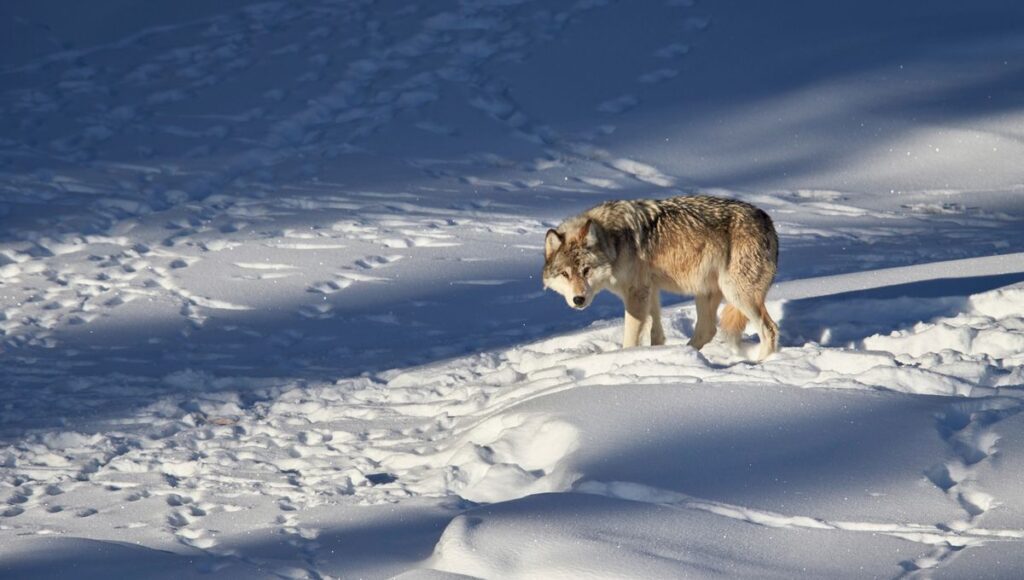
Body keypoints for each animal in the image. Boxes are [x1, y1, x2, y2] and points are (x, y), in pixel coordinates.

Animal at [542, 195, 779, 360]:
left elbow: (630, 339)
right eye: (565, 274)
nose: (578, 300)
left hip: (737, 294)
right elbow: (655, 333)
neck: (612, 241)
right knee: (707, 331)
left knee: (770, 330)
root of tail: (767, 220)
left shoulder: (637, 294)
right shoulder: (651, 290)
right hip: (705, 293)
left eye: (586, 270)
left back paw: (759, 364)